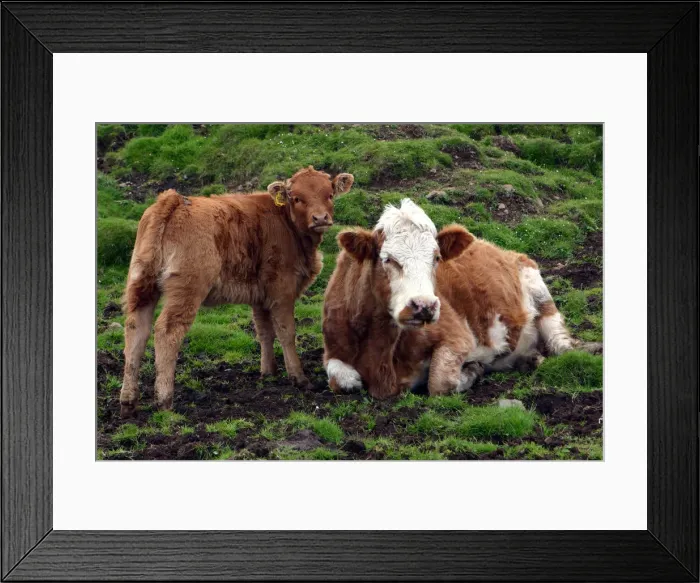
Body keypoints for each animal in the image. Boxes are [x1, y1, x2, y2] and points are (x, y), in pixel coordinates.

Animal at [119, 166, 354, 418]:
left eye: (329, 194)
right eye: (297, 198)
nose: (320, 218)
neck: (285, 223)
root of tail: (173, 200)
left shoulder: (260, 295)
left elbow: (264, 332)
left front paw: (268, 371)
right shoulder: (282, 291)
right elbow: (286, 332)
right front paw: (299, 377)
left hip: (142, 285)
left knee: (136, 329)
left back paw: (128, 400)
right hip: (186, 290)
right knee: (167, 332)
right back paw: (164, 400)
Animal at [322, 199, 599, 399]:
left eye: (436, 258)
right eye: (388, 259)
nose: (424, 306)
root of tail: (500, 249)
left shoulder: (458, 336)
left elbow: (440, 382)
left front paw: (472, 370)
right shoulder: (333, 348)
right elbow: (342, 379)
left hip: (538, 288)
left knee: (559, 342)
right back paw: (528, 359)